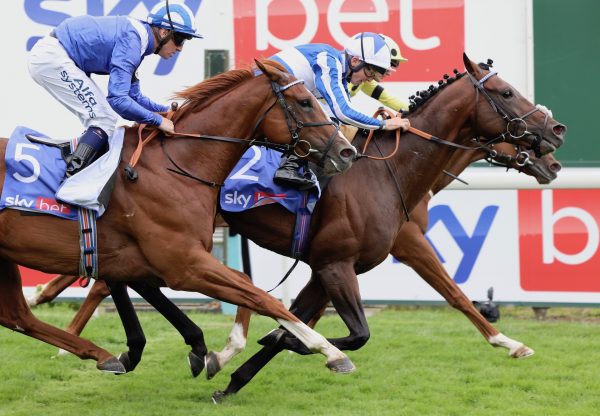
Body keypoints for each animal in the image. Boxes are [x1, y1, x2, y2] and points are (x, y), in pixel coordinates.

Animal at [0, 58, 360, 374]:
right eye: (305, 102)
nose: (347, 151)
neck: (177, 165)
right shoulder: (182, 264)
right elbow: (261, 297)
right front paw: (330, 351)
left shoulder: (146, 261)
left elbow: (245, 287)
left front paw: (209, 351)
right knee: (18, 315)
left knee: (17, 316)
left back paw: (101, 354)